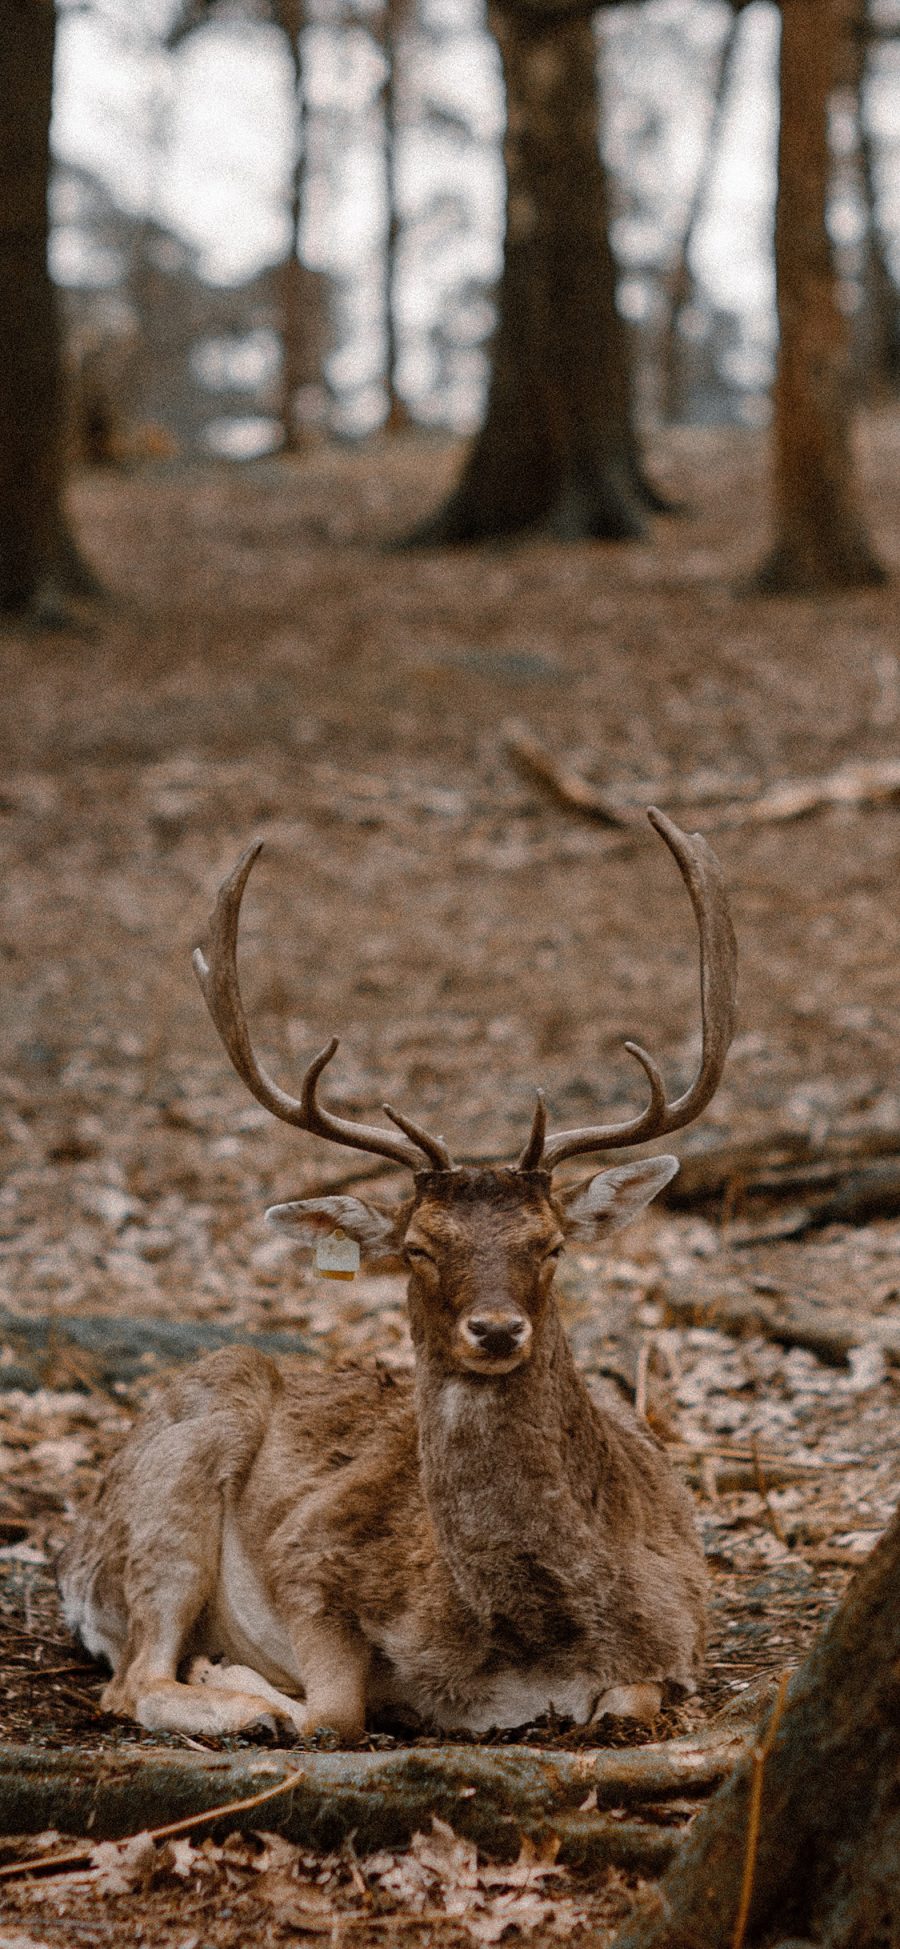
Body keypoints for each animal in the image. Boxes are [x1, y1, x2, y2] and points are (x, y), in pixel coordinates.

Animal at [61, 806, 736, 1738]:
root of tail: (72, 1557)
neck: (525, 1643)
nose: (496, 1328)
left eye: (551, 1244)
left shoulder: (685, 1630)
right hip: (172, 1476)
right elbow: (334, 1712)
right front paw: (254, 1680)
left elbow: (622, 1708)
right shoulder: (309, 1554)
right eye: (420, 1244)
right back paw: (236, 1694)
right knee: (131, 1679)